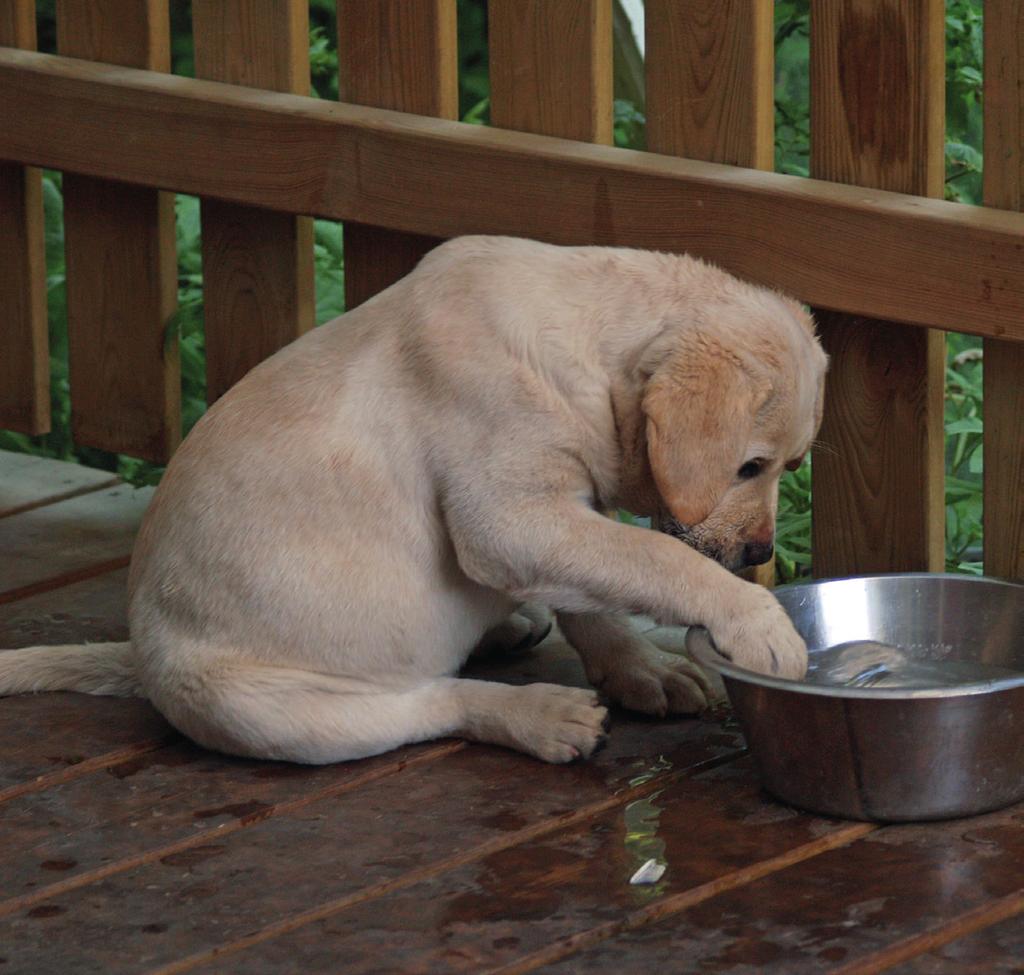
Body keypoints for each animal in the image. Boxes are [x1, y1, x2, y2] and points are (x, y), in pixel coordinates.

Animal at [0, 234, 827, 761]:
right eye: (750, 465)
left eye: (788, 464)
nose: (759, 550)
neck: (586, 349)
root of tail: (138, 657)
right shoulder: (510, 518)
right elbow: (655, 556)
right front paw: (755, 618)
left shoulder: (558, 513)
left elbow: (598, 591)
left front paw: (641, 667)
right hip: (257, 705)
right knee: (427, 703)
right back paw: (539, 713)